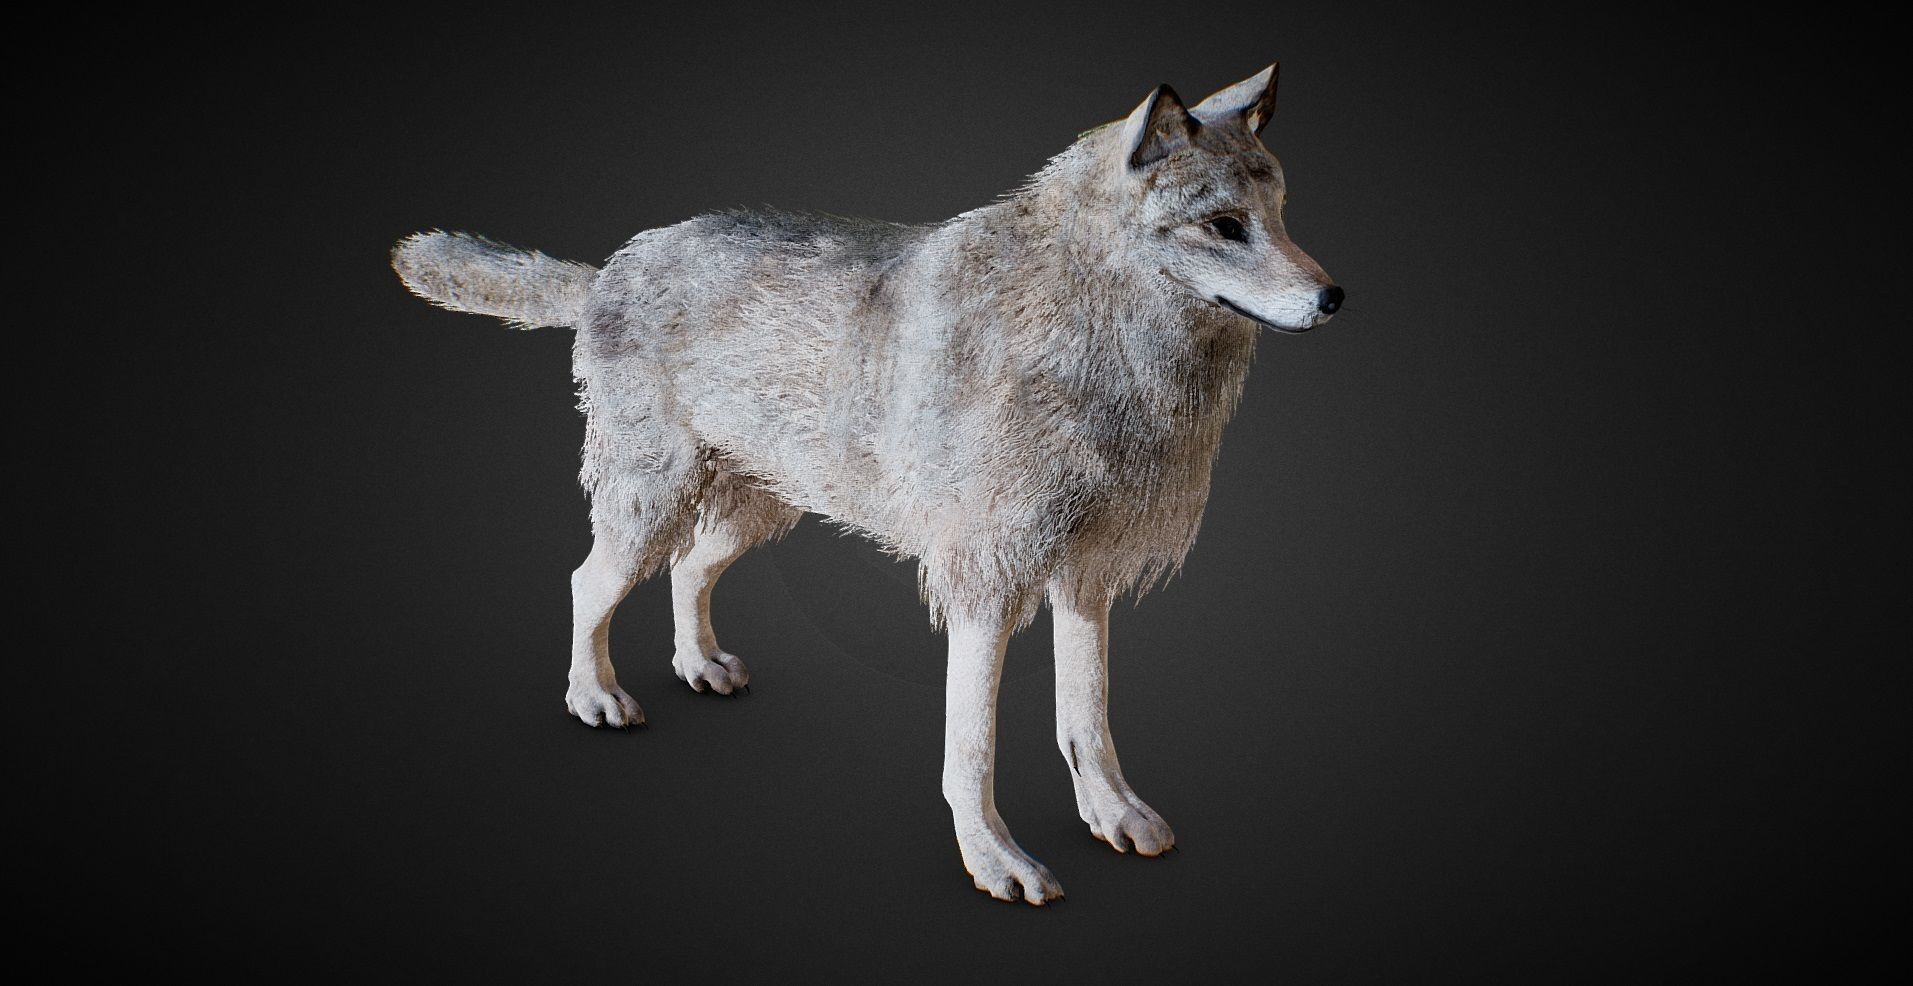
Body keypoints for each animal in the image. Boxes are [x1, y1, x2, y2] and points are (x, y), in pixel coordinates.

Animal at [392, 64, 1340, 904]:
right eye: (1225, 226)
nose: (1334, 297)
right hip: (651, 507)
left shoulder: (1085, 580)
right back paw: (594, 696)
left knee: (689, 572)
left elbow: (1087, 721)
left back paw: (700, 666)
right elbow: (973, 747)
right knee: (588, 581)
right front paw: (993, 861)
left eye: (1279, 216)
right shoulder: (984, 585)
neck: (1093, 339)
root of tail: (610, 269)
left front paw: (1112, 817)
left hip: (754, 513)